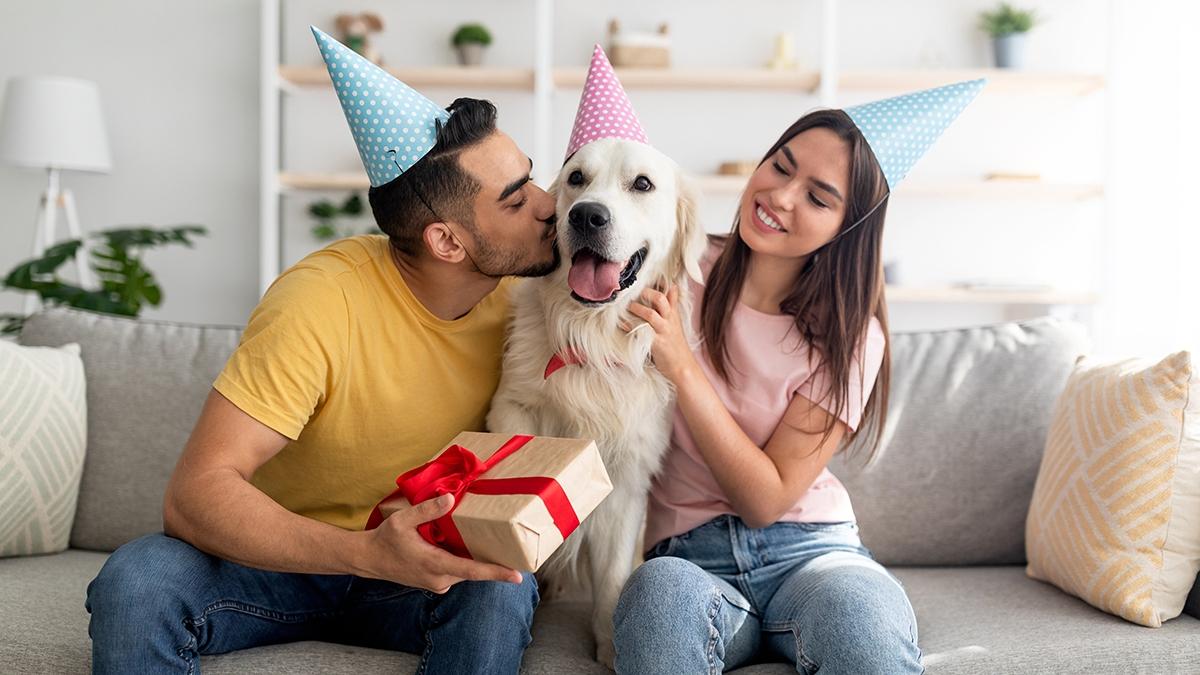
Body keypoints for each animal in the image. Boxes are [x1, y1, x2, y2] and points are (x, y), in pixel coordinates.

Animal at [487, 136, 705, 662]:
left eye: (642, 184)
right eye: (576, 179)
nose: (586, 216)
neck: (593, 334)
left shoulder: (628, 481)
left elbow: (612, 576)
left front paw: (609, 645)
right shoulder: (512, 409)